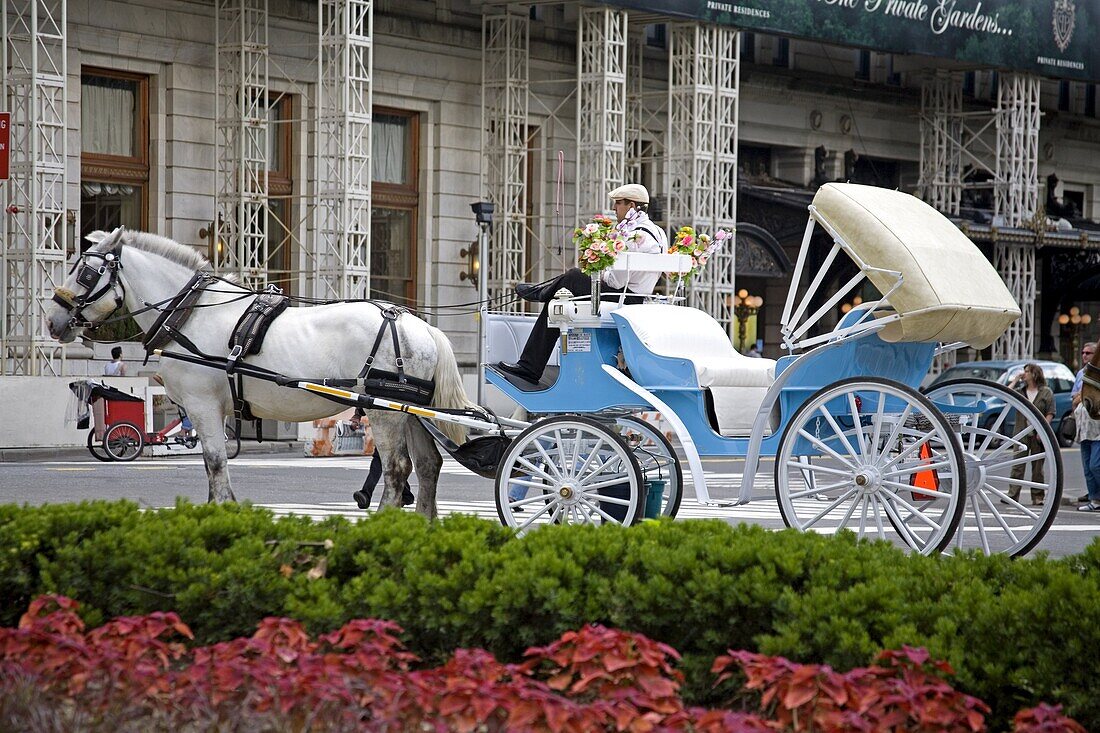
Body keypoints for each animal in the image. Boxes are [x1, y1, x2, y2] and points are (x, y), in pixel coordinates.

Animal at [47, 225, 473, 517]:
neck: (190, 313)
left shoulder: (203, 406)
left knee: (398, 469)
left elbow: (215, 462)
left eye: (85, 274)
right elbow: (213, 464)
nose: (53, 321)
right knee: (429, 466)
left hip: (385, 412)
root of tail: (420, 325)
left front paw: (223, 510)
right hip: (414, 412)